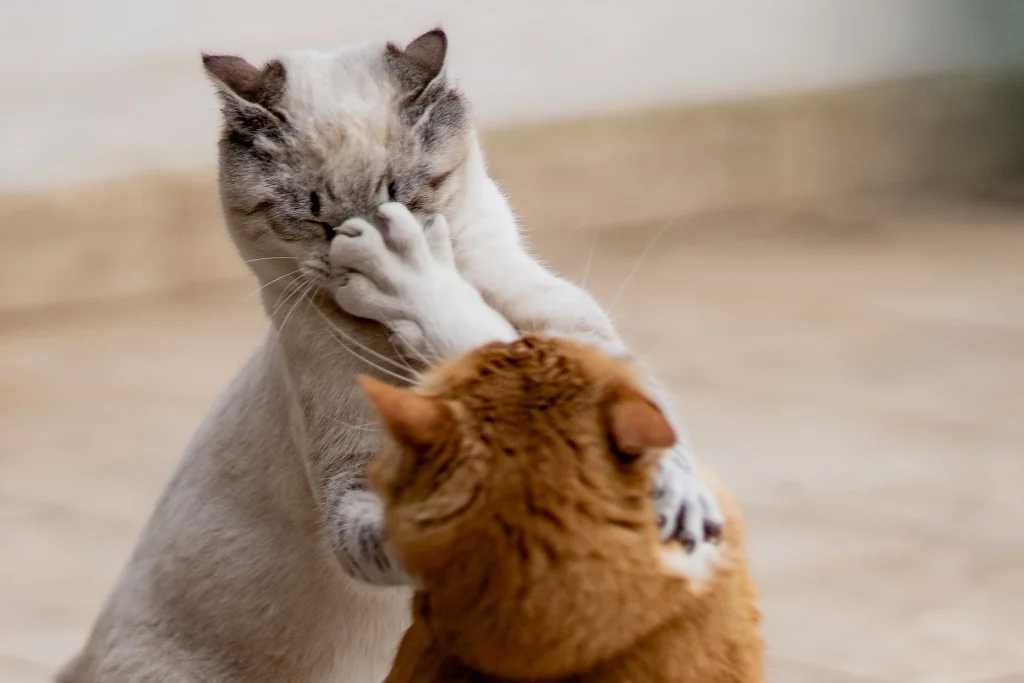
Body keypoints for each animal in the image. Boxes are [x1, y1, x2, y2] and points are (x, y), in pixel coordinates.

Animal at [59, 29, 720, 683]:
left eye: (397, 198)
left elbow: (649, 420)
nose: (359, 241)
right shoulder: (352, 480)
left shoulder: (571, 333)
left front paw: (683, 509)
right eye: (314, 218)